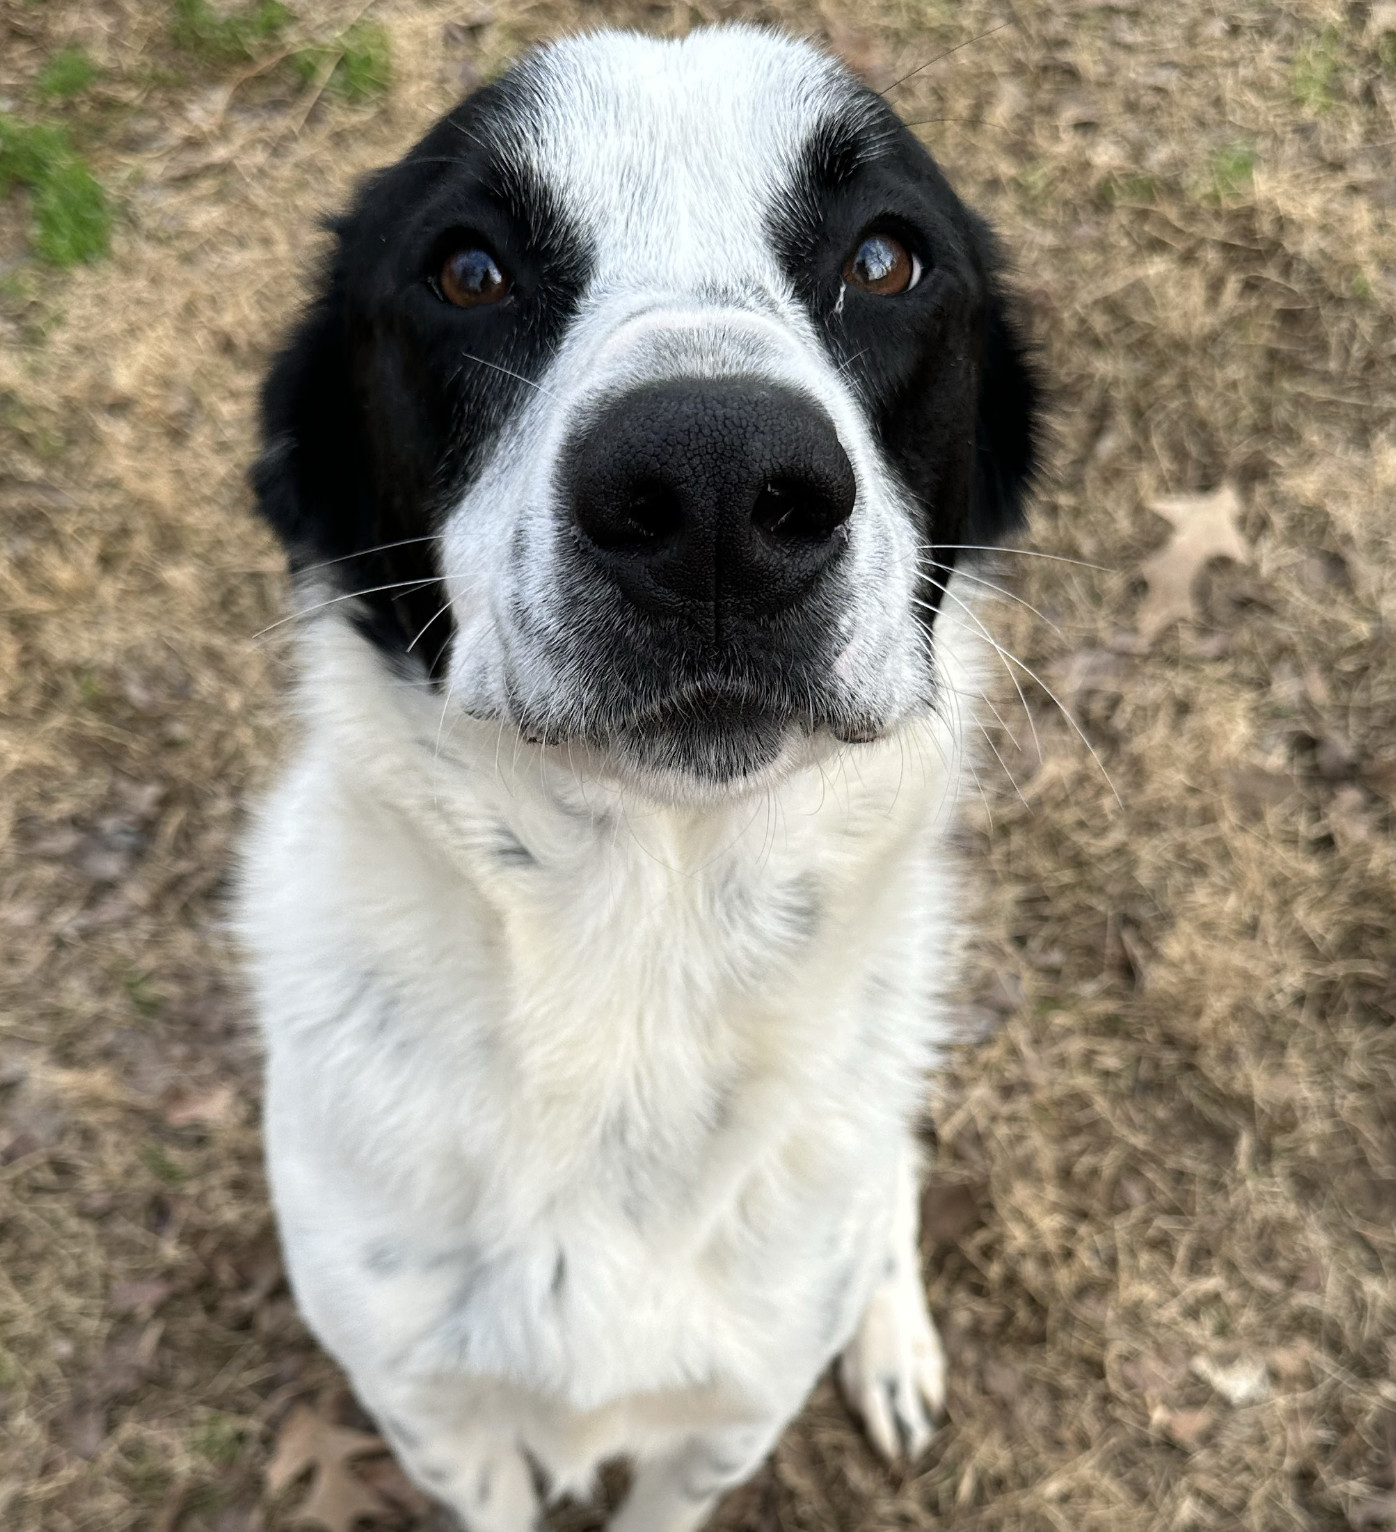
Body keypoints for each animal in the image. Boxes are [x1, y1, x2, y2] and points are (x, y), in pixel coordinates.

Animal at [237, 27, 1035, 1532]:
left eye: (884, 258)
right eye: (468, 271)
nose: (716, 482)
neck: (638, 958)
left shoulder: (728, 1417)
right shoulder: (430, 1413)